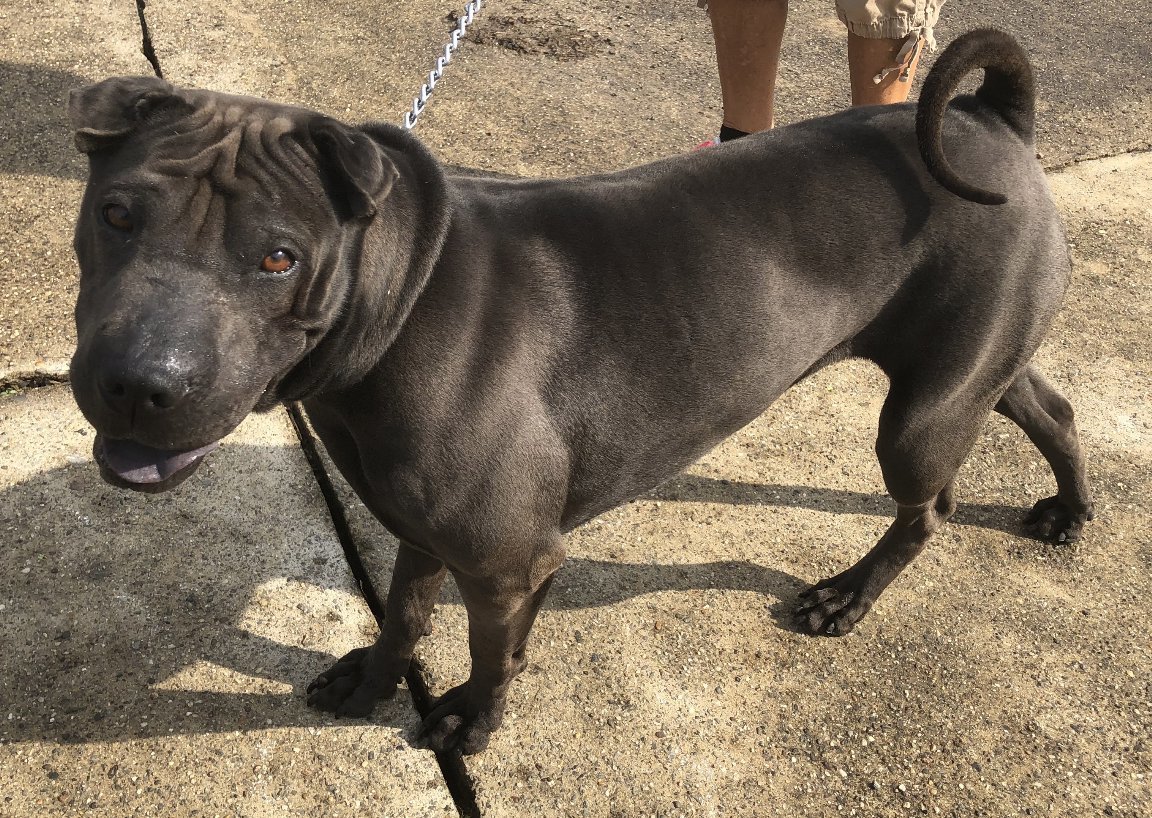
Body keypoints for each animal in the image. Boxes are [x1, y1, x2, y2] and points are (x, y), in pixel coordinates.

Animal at [67, 27, 1092, 755]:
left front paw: (470, 722)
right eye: (114, 214)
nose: (138, 384)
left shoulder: (509, 563)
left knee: (929, 509)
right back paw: (1070, 510)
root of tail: (990, 117)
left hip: (918, 416)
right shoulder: (419, 529)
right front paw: (372, 682)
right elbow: (403, 612)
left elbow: (493, 653)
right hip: (972, 366)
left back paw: (846, 596)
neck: (398, 298)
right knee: (1050, 408)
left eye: (279, 258)